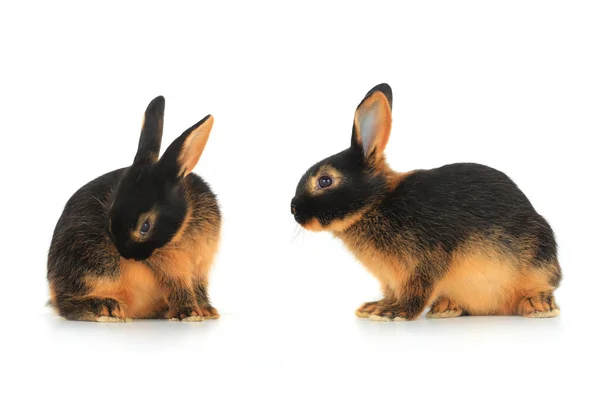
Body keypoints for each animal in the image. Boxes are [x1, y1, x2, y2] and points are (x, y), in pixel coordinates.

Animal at [47, 96, 220, 322]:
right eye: (110, 214)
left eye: (145, 226)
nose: (126, 255)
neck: (184, 226)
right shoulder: (170, 269)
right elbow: (178, 285)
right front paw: (188, 313)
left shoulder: (200, 268)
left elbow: (198, 288)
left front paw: (207, 312)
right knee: (66, 304)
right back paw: (107, 308)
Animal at [290, 84, 564, 322]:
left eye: (325, 180)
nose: (293, 209)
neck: (377, 203)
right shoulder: (391, 278)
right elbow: (392, 292)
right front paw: (375, 307)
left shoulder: (424, 262)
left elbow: (416, 291)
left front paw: (391, 313)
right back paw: (445, 308)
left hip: (538, 263)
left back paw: (539, 307)